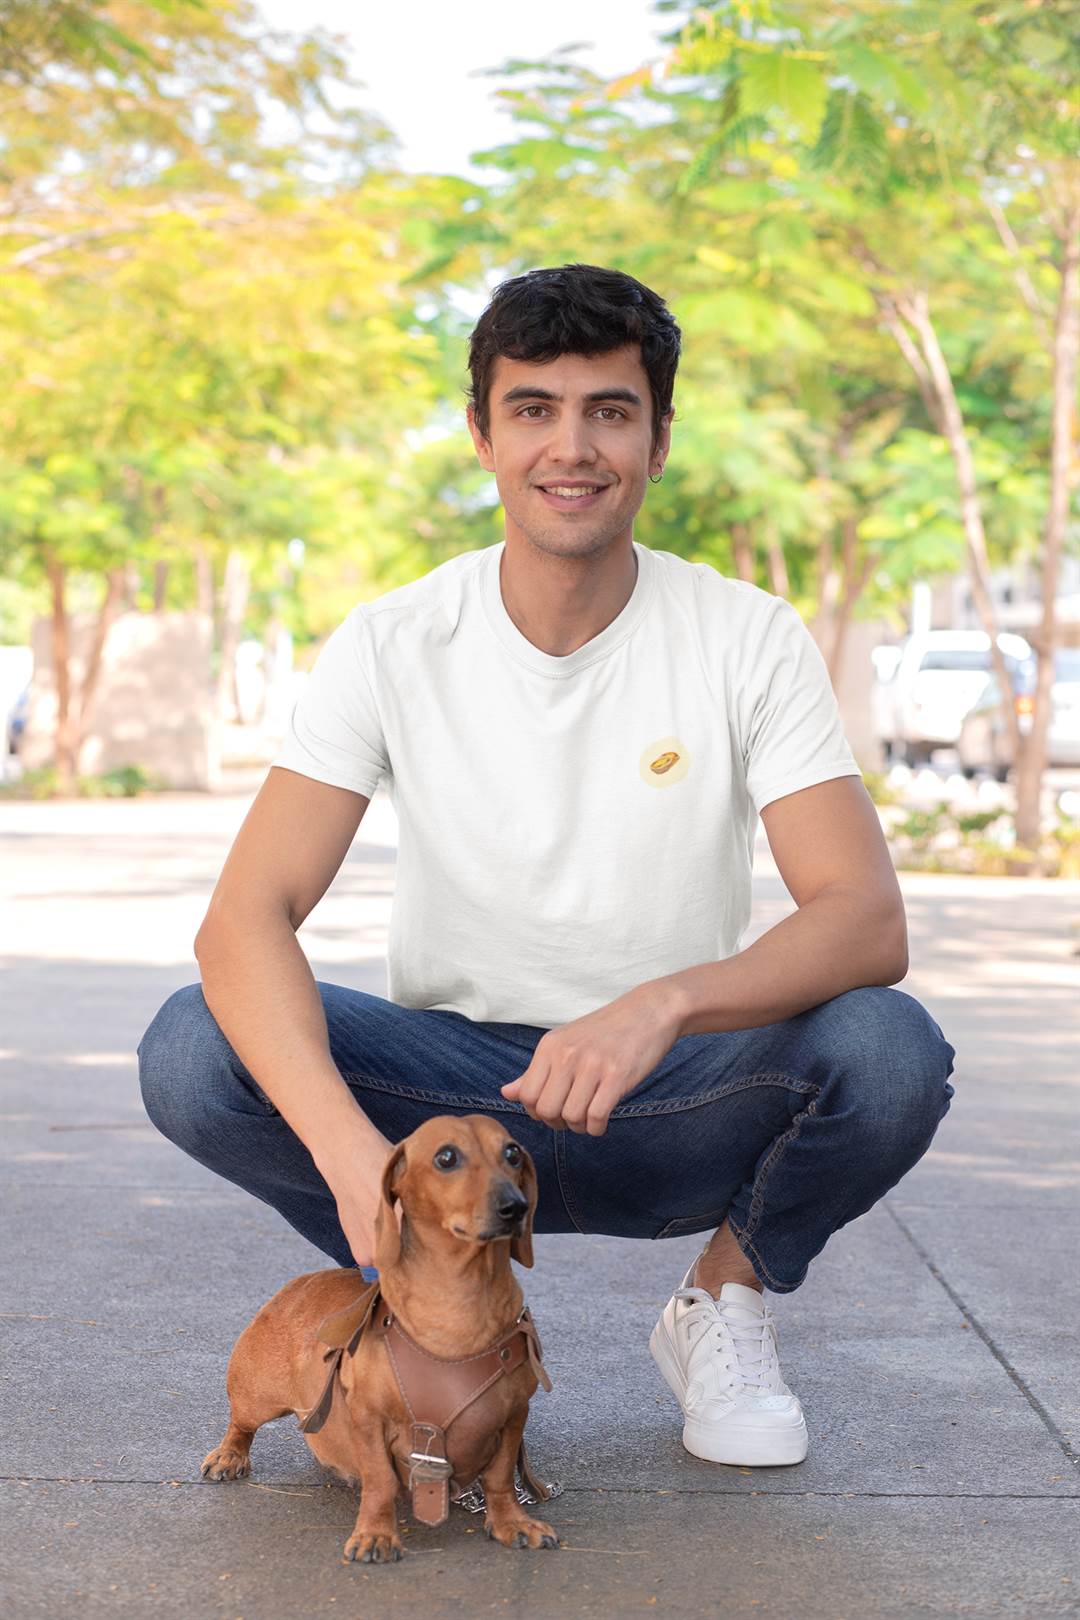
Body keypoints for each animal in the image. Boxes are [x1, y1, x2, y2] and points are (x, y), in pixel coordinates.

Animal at [197, 1114, 563, 1555]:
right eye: (446, 1157)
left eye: (512, 1153)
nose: (515, 1206)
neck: (461, 1306)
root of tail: (297, 1283)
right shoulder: (370, 1421)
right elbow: (380, 1482)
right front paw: (375, 1533)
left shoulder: (512, 1419)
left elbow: (500, 1479)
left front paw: (513, 1522)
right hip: (256, 1397)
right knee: (241, 1423)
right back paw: (229, 1456)